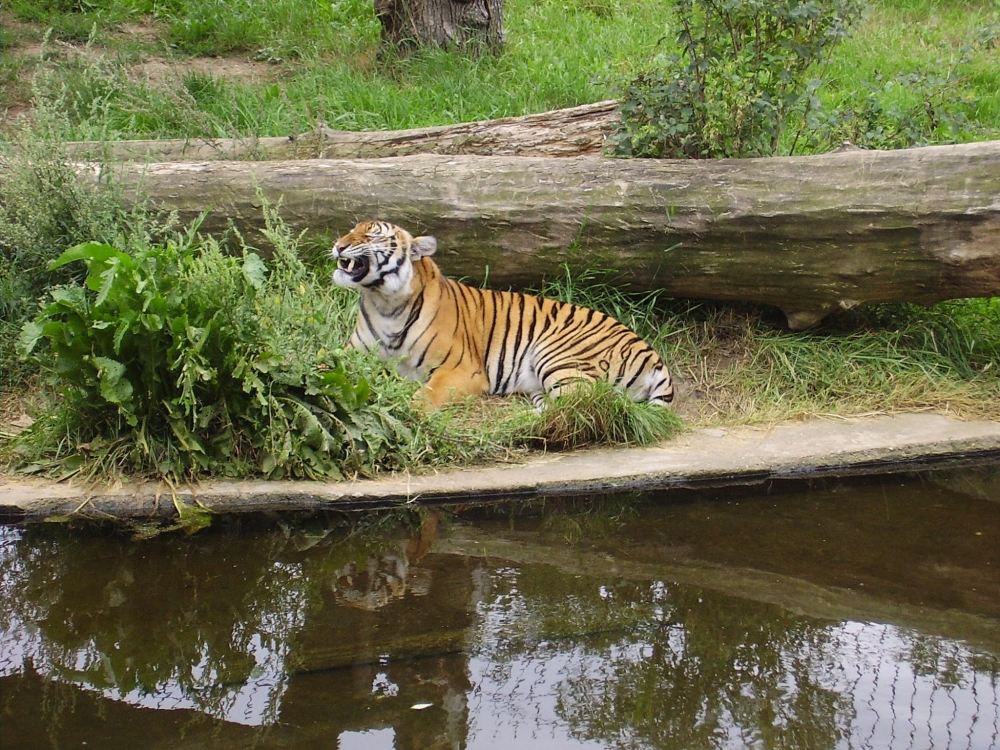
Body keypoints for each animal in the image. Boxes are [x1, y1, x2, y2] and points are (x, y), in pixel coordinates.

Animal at [332, 220, 676, 414]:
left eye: (371, 236)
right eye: (349, 231)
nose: (338, 245)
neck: (385, 301)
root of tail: (653, 355)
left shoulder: (461, 369)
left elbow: (427, 394)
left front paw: (405, 409)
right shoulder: (351, 352)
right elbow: (326, 362)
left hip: (559, 354)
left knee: (582, 401)